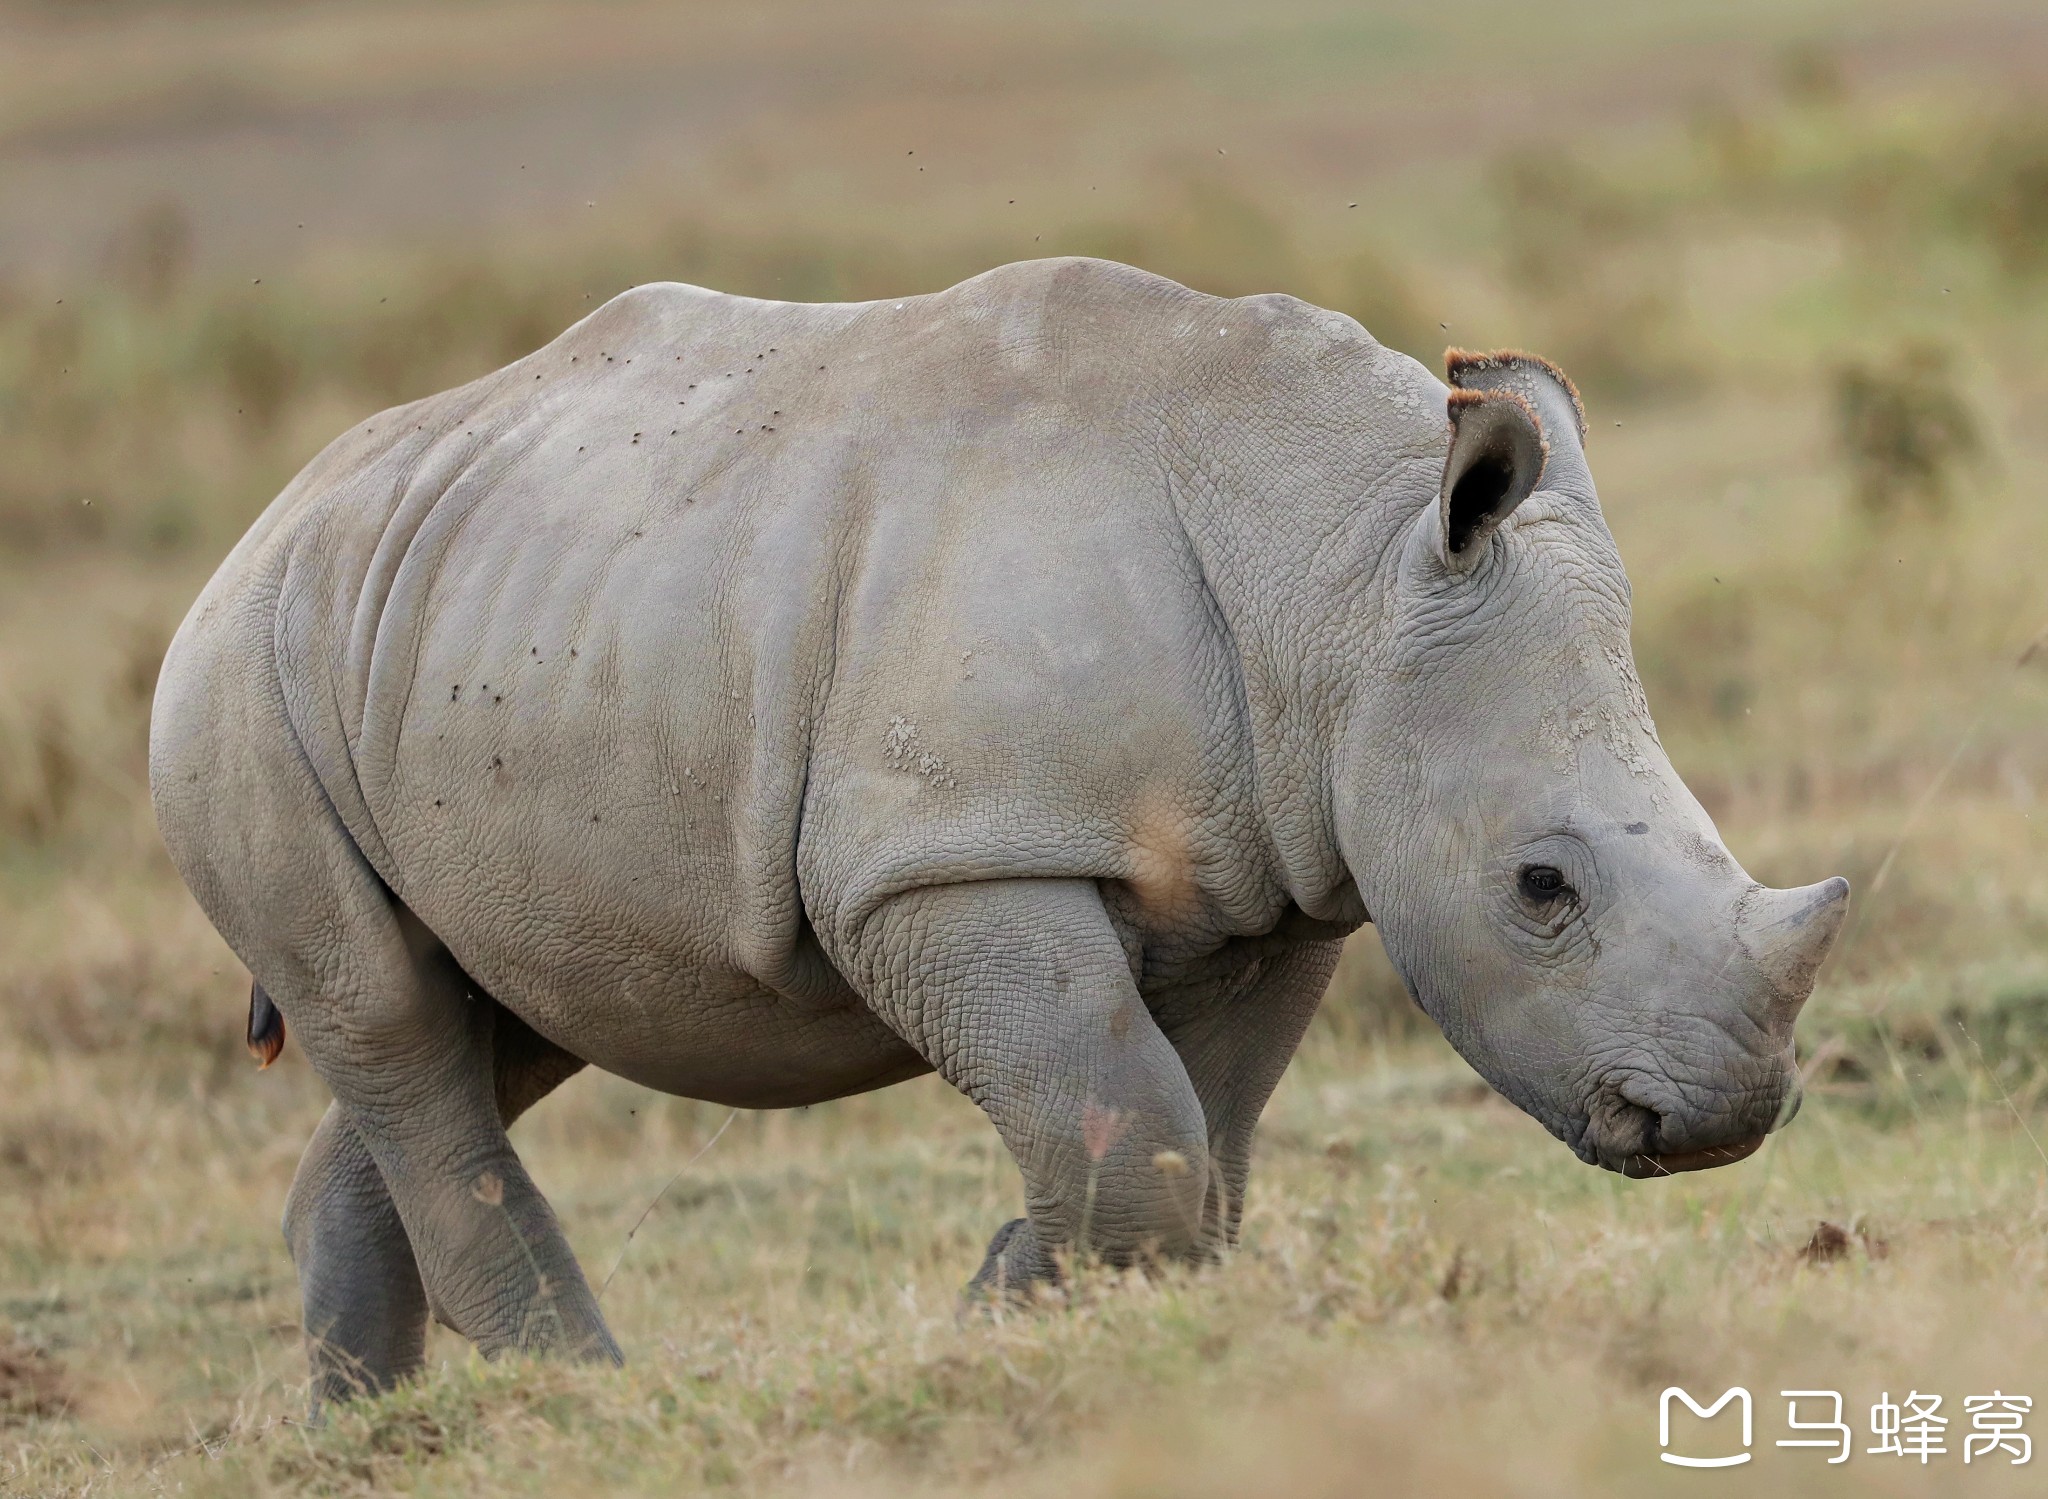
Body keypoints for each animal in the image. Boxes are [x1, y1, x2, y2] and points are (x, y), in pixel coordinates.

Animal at [151, 251, 1851, 1400]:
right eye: (1541, 885)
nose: (1719, 1118)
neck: (1339, 570)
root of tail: (261, 526)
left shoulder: (1281, 871)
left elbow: (1192, 1141)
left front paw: (1040, 1307)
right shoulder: (944, 856)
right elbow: (1132, 1124)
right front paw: (992, 1334)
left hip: (477, 629)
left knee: (500, 1005)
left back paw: (383, 1435)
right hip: (237, 680)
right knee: (388, 1008)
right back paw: (589, 1408)